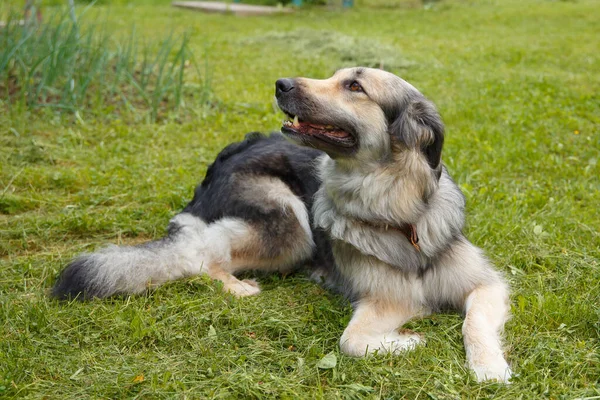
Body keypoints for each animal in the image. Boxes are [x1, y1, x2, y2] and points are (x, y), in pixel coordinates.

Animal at [50, 67, 510, 382]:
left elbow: (473, 323)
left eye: (354, 86)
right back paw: (239, 287)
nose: (281, 84)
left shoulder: (486, 285)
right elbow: (351, 343)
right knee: (201, 255)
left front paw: (489, 368)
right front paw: (411, 340)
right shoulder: (380, 301)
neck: (399, 216)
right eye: (337, 76)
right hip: (292, 226)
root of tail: (228, 154)